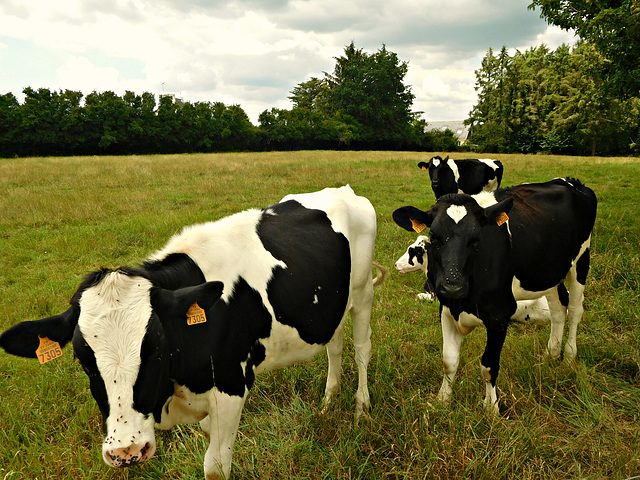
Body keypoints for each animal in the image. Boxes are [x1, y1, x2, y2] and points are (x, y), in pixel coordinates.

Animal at [0, 186, 382, 480]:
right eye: (83, 360)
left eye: (155, 347)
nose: (126, 450)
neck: (175, 386)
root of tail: (342, 190)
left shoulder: (231, 388)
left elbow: (215, 467)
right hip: (334, 305)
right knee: (334, 347)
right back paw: (328, 402)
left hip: (363, 292)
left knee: (362, 349)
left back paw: (361, 410)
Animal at [392, 178, 596, 414]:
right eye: (435, 237)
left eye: (476, 238)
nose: (453, 286)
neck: (462, 301)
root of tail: (569, 182)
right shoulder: (447, 309)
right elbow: (449, 360)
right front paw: (442, 400)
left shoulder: (500, 314)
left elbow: (488, 365)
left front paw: (491, 409)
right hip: (548, 272)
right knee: (558, 308)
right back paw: (551, 354)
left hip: (581, 259)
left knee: (575, 310)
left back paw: (569, 357)